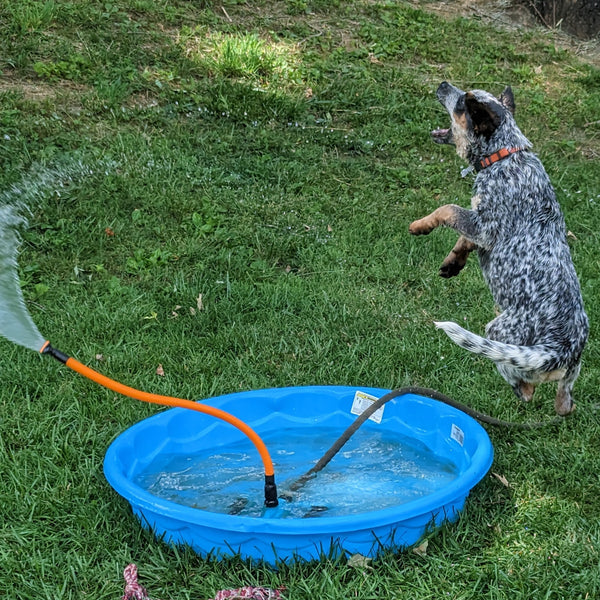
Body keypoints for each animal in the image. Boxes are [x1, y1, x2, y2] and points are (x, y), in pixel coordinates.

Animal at [410, 82, 588, 414]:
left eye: (462, 104)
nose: (443, 84)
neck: (504, 156)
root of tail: (560, 350)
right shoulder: (480, 226)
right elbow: (463, 239)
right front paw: (453, 262)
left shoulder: (484, 224)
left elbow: (448, 209)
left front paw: (420, 225)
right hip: (569, 379)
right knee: (564, 402)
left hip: (502, 337)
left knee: (524, 386)